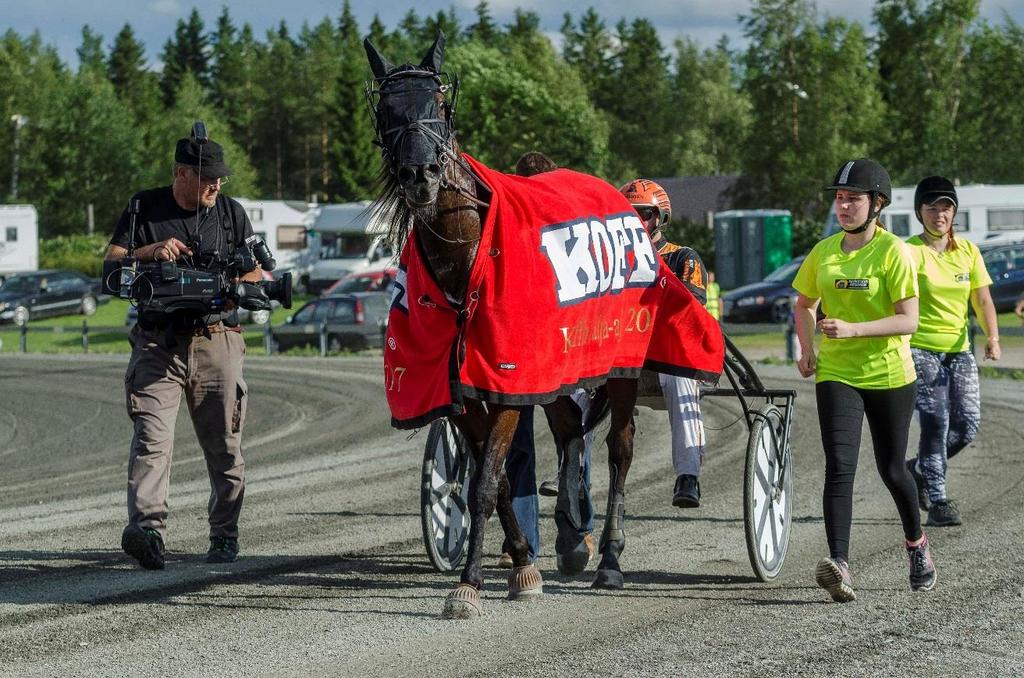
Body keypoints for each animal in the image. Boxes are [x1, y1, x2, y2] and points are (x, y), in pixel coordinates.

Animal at [368, 33, 634, 622]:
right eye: (386, 109)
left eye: (439, 102)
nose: (419, 175)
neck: (468, 257)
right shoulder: (464, 391)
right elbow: (501, 477)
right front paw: (522, 562)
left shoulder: (510, 377)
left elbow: (486, 481)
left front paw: (467, 584)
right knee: (570, 432)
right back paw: (572, 536)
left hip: (623, 362)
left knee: (620, 448)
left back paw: (609, 556)